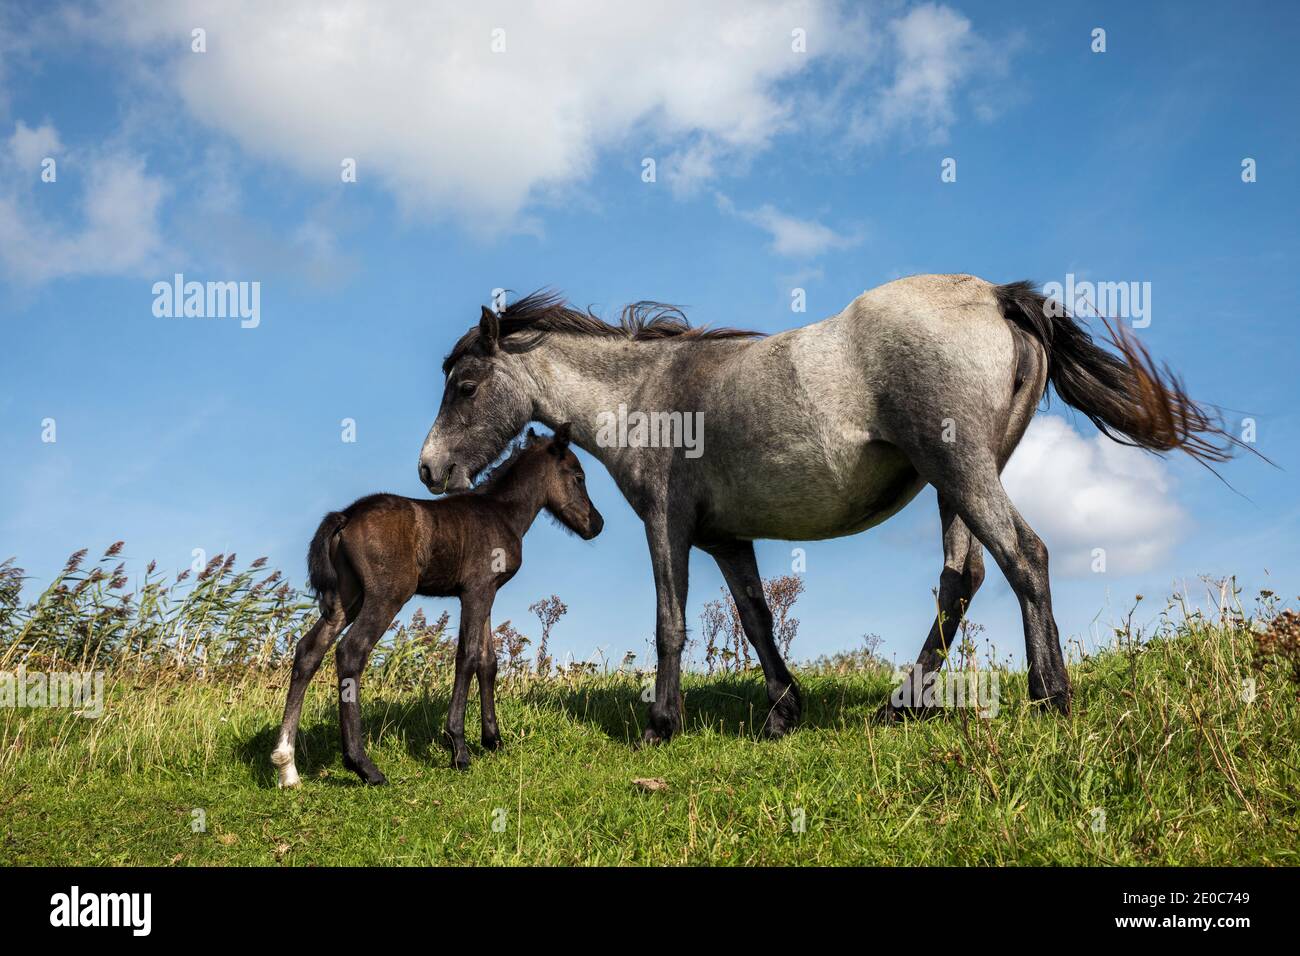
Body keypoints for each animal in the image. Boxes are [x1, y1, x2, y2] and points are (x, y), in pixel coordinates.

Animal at [274, 426, 603, 785]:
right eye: (579, 476)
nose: (596, 524)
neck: (502, 512)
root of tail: (346, 516)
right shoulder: (476, 591)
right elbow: (467, 658)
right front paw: (458, 747)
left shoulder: (485, 592)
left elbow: (488, 662)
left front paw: (493, 740)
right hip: (386, 596)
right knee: (350, 652)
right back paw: (364, 766)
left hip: (345, 598)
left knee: (309, 650)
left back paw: (287, 766)